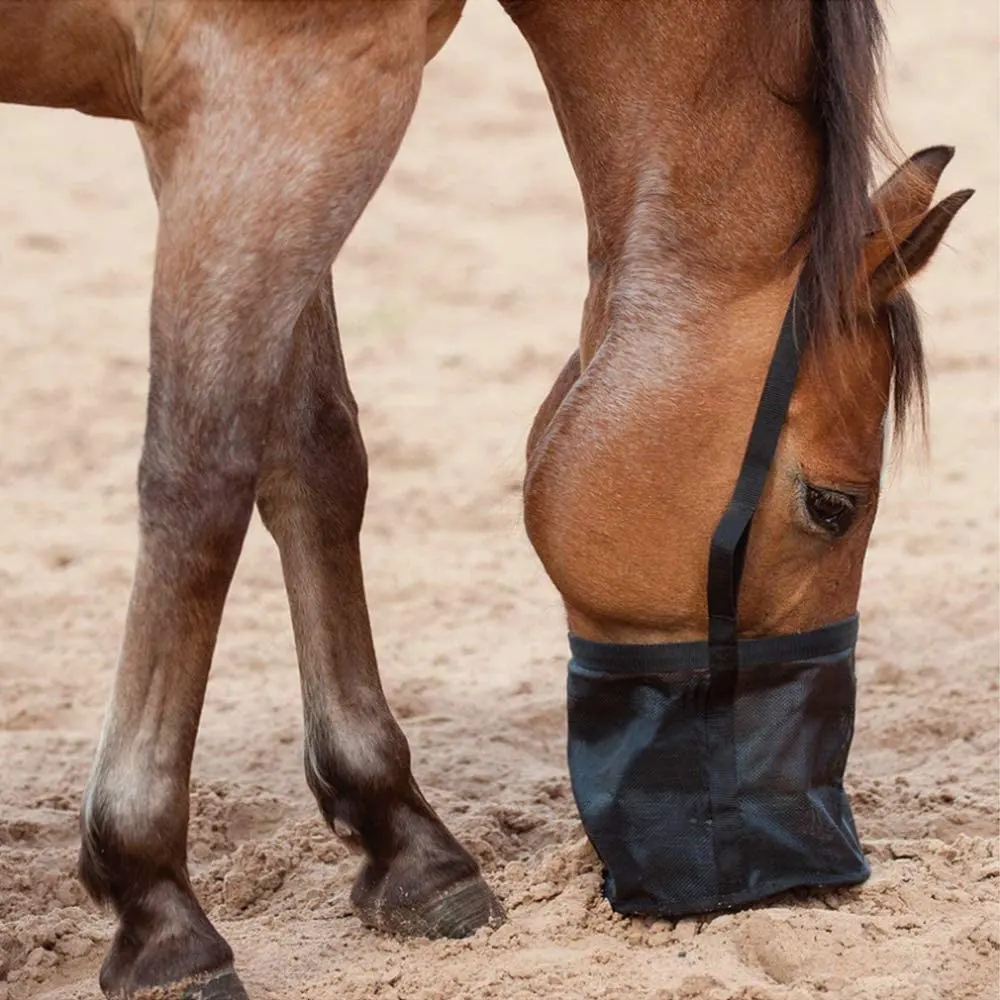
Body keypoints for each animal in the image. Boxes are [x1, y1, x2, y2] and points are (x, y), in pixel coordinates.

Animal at [0, 1, 968, 1000]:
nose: (811, 867)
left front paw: (403, 838)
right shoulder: (272, 95)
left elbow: (314, 450)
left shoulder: (271, 118)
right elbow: (201, 486)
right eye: (832, 507)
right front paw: (154, 899)